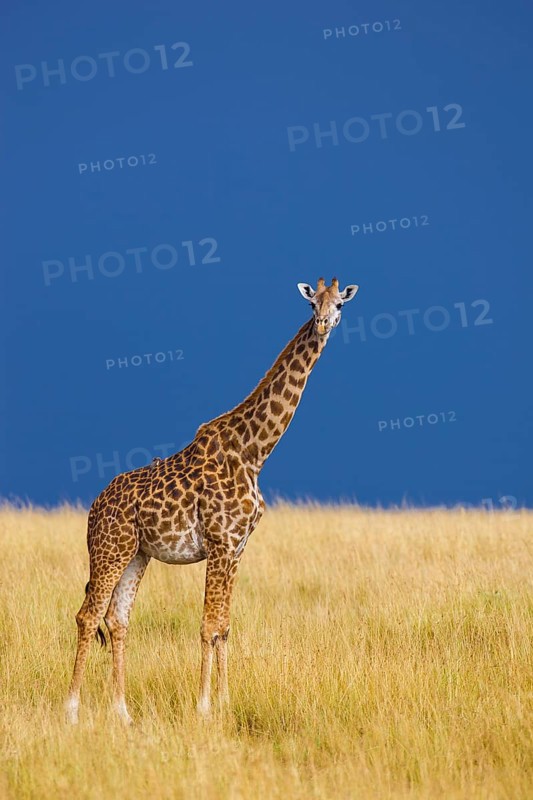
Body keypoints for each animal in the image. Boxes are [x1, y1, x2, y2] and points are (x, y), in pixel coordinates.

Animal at [65, 277, 359, 725]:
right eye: (312, 304)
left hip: (137, 554)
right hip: (108, 549)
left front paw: (225, 702)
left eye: (340, 304)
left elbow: (224, 626)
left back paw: (123, 712)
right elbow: (207, 626)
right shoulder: (220, 543)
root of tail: (94, 508)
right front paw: (204, 707)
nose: (324, 323)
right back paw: (72, 711)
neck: (255, 452)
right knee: (88, 615)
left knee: (117, 620)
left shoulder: (237, 547)